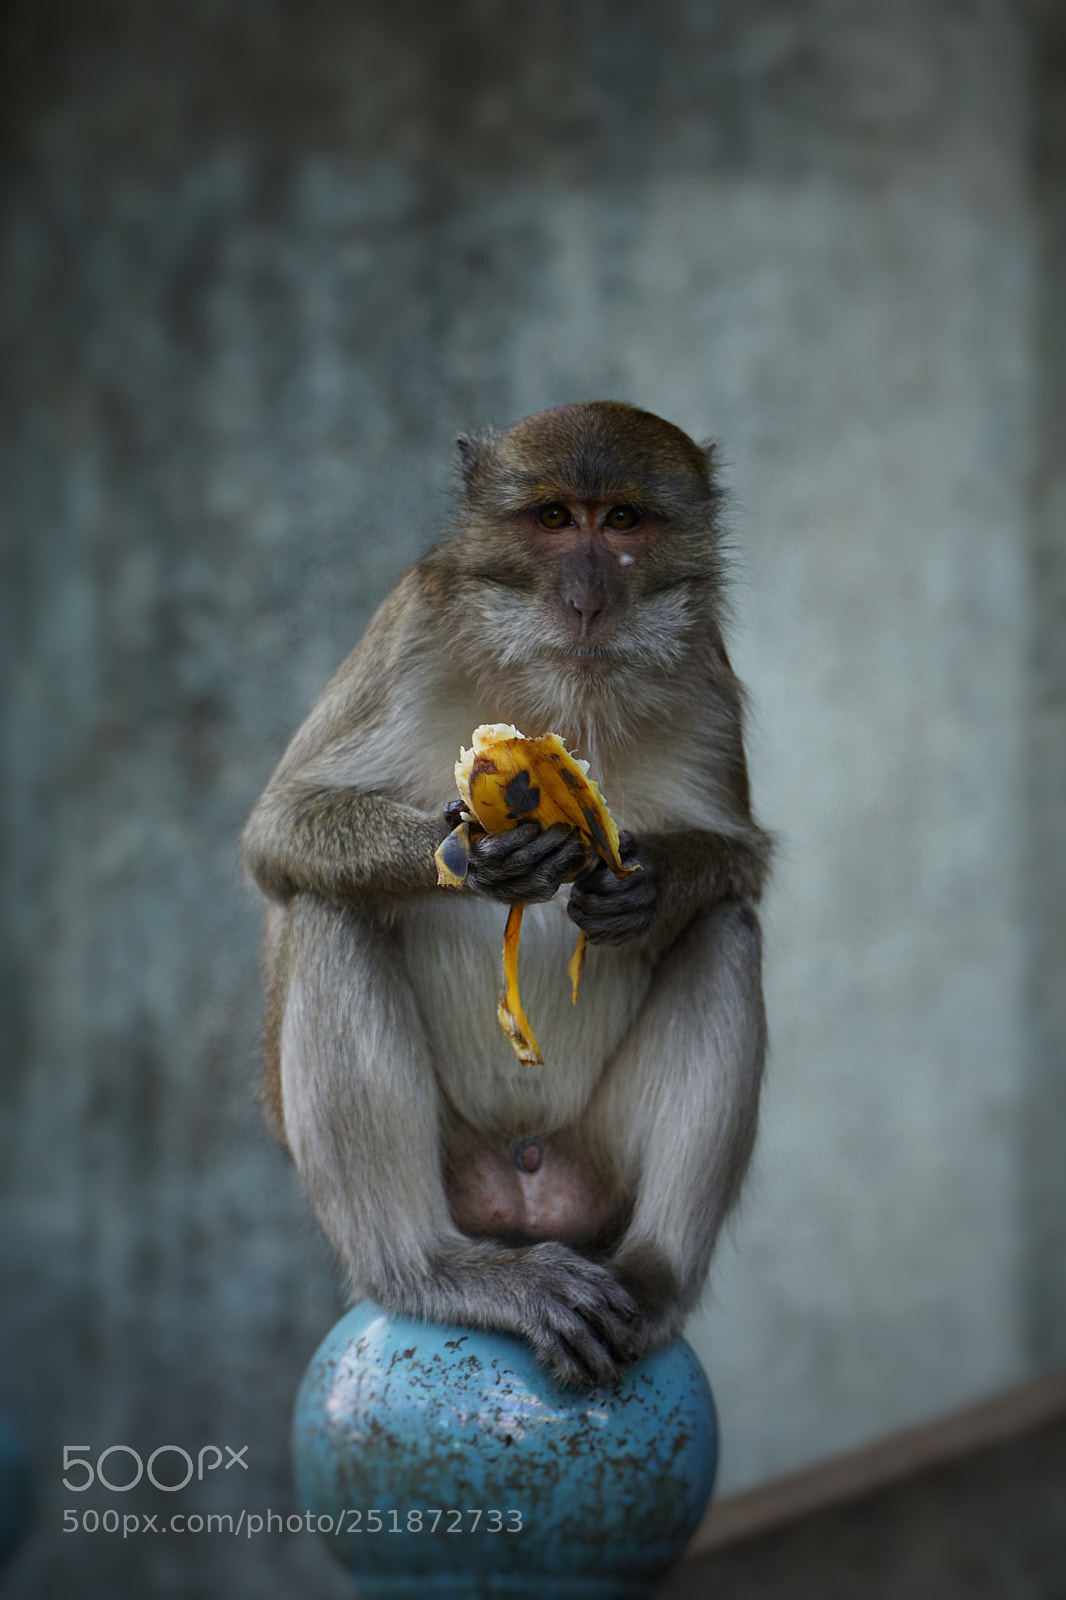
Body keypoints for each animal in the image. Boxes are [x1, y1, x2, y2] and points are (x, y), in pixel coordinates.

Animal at [241, 401, 771, 1388]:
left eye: (624, 522)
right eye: (554, 519)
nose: (588, 599)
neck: (562, 681)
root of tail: (526, 1185)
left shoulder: (706, 675)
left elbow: (741, 862)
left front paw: (646, 888)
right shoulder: (414, 626)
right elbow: (280, 833)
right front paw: (472, 855)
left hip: (593, 1163)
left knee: (729, 929)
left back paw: (654, 1276)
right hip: (457, 1168)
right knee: (329, 909)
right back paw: (432, 1270)